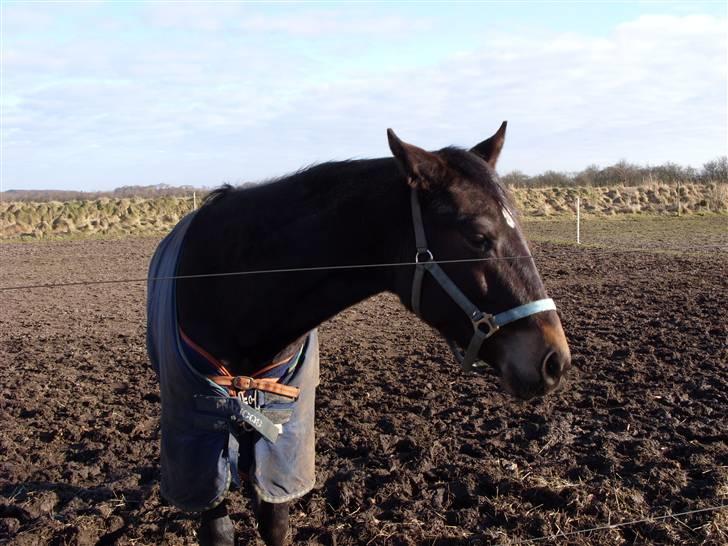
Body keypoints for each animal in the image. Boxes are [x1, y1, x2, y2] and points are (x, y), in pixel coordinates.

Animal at [145, 121, 572, 540]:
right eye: (478, 236)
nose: (554, 360)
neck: (229, 289)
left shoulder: (284, 437)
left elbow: (274, 522)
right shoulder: (198, 435)